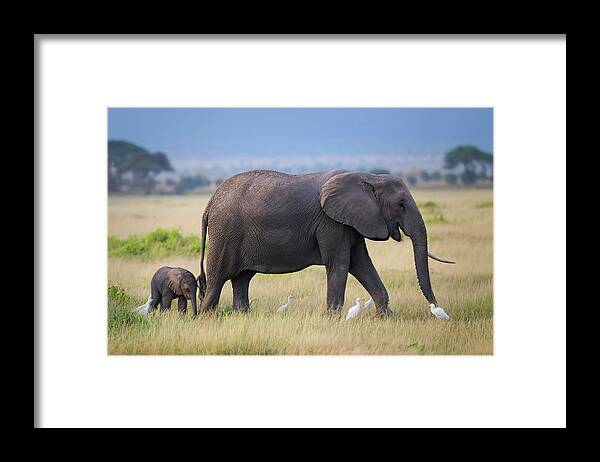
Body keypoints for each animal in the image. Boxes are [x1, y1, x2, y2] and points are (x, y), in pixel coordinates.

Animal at [198, 171, 454, 316]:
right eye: (401, 204)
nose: (435, 307)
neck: (369, 177)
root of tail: (209, 203)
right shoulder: (330, 221)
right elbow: (340, 264)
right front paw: (333, 319)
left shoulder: (351, 221)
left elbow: (361, 264)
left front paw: (387, 317)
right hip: (225, 233)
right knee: (216, 281)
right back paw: (205, 318)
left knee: (242, 280)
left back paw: (243, 317)